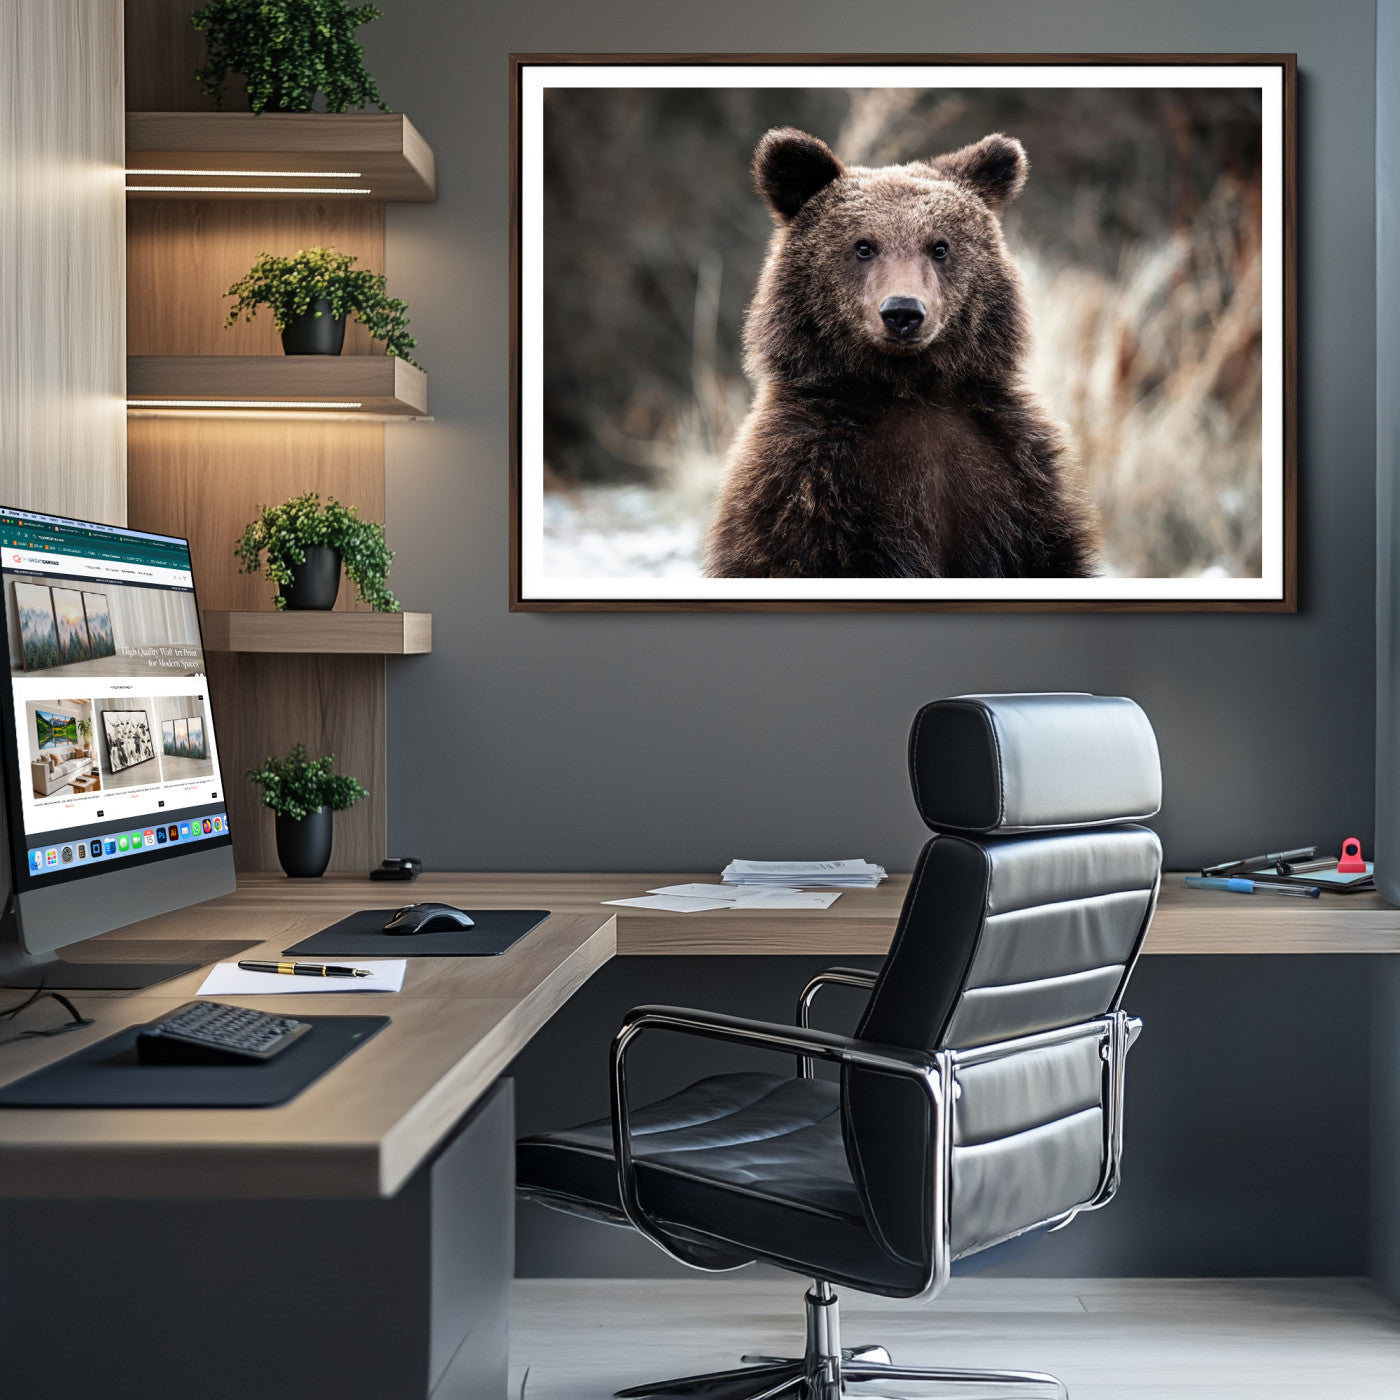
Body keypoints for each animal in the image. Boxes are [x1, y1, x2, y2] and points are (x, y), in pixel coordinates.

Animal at [704, 127, 1099, 579]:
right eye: (863, 246)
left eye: (940, 246)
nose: (903, 312)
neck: (908, 389)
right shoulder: (805, 486)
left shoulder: (1016, 481)